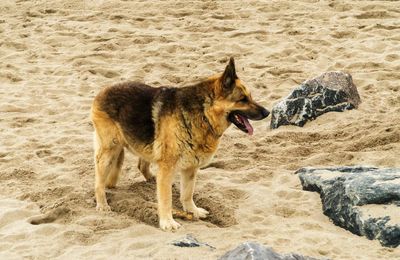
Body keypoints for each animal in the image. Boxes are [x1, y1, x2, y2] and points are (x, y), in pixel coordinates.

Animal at [92, 58, 270, 231]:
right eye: (242, 100)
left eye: (250, 97)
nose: (268, 113)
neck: (204, 113)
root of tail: (103, 90)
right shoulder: (168, 168)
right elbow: (166, 198)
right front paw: (167, 222)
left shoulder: (190, 168)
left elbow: (187, 193)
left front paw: (192, 211)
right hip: (108, 153)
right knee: (99, 183)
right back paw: (102, 204)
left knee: (142, 165)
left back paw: (151, 179)